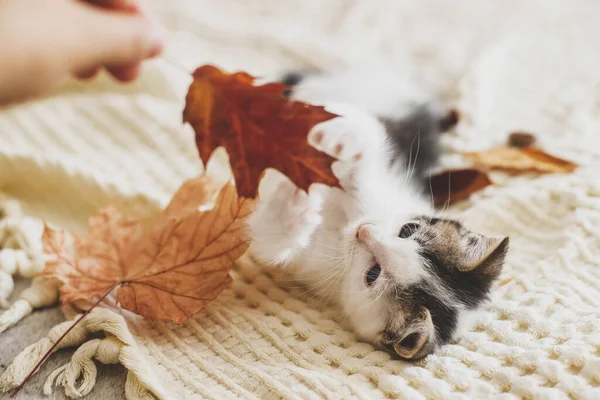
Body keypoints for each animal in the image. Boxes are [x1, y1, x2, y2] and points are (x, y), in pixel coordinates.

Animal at [246, 67, 508, 360]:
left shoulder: (310, 264)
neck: (343, 226)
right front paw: (341, 138)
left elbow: (270, 238)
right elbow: (369, 139)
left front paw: (295, 202)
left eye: (373, 274)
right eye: (408, 229)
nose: (364, 230)